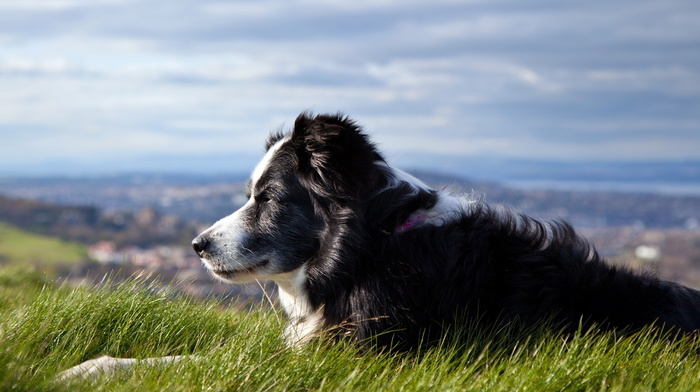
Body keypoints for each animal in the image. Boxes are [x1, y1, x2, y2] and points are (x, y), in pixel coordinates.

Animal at [60, 111, 700, 380]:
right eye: (249, 194)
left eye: (269, 198)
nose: (196, 244)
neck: (372, 250)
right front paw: (90, 364)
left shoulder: (347, 354)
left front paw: (88, 371)